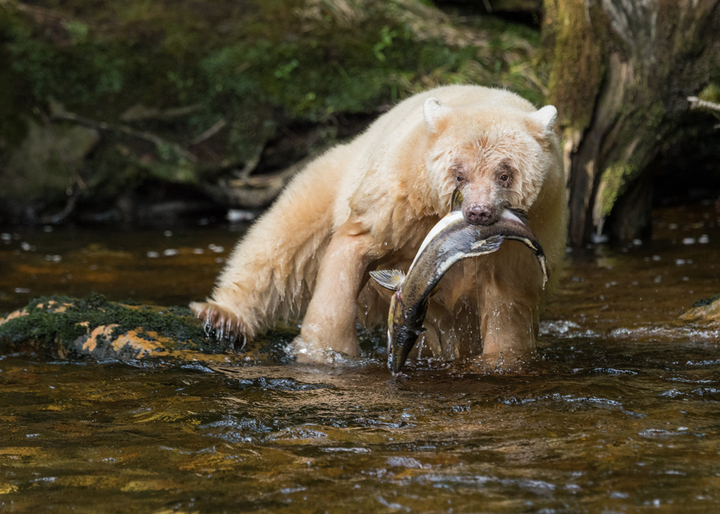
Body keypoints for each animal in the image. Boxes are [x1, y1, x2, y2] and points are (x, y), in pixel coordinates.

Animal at [191, 84, 567, 368]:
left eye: (504, 173)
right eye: (459, 172)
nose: (477, 212)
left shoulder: (524, 242)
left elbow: (507, 306)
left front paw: (501, 359)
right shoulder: (397, 203)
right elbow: (350, 255)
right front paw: (326, 351)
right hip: (332, 179)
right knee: (280, 243)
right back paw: (223, 316)